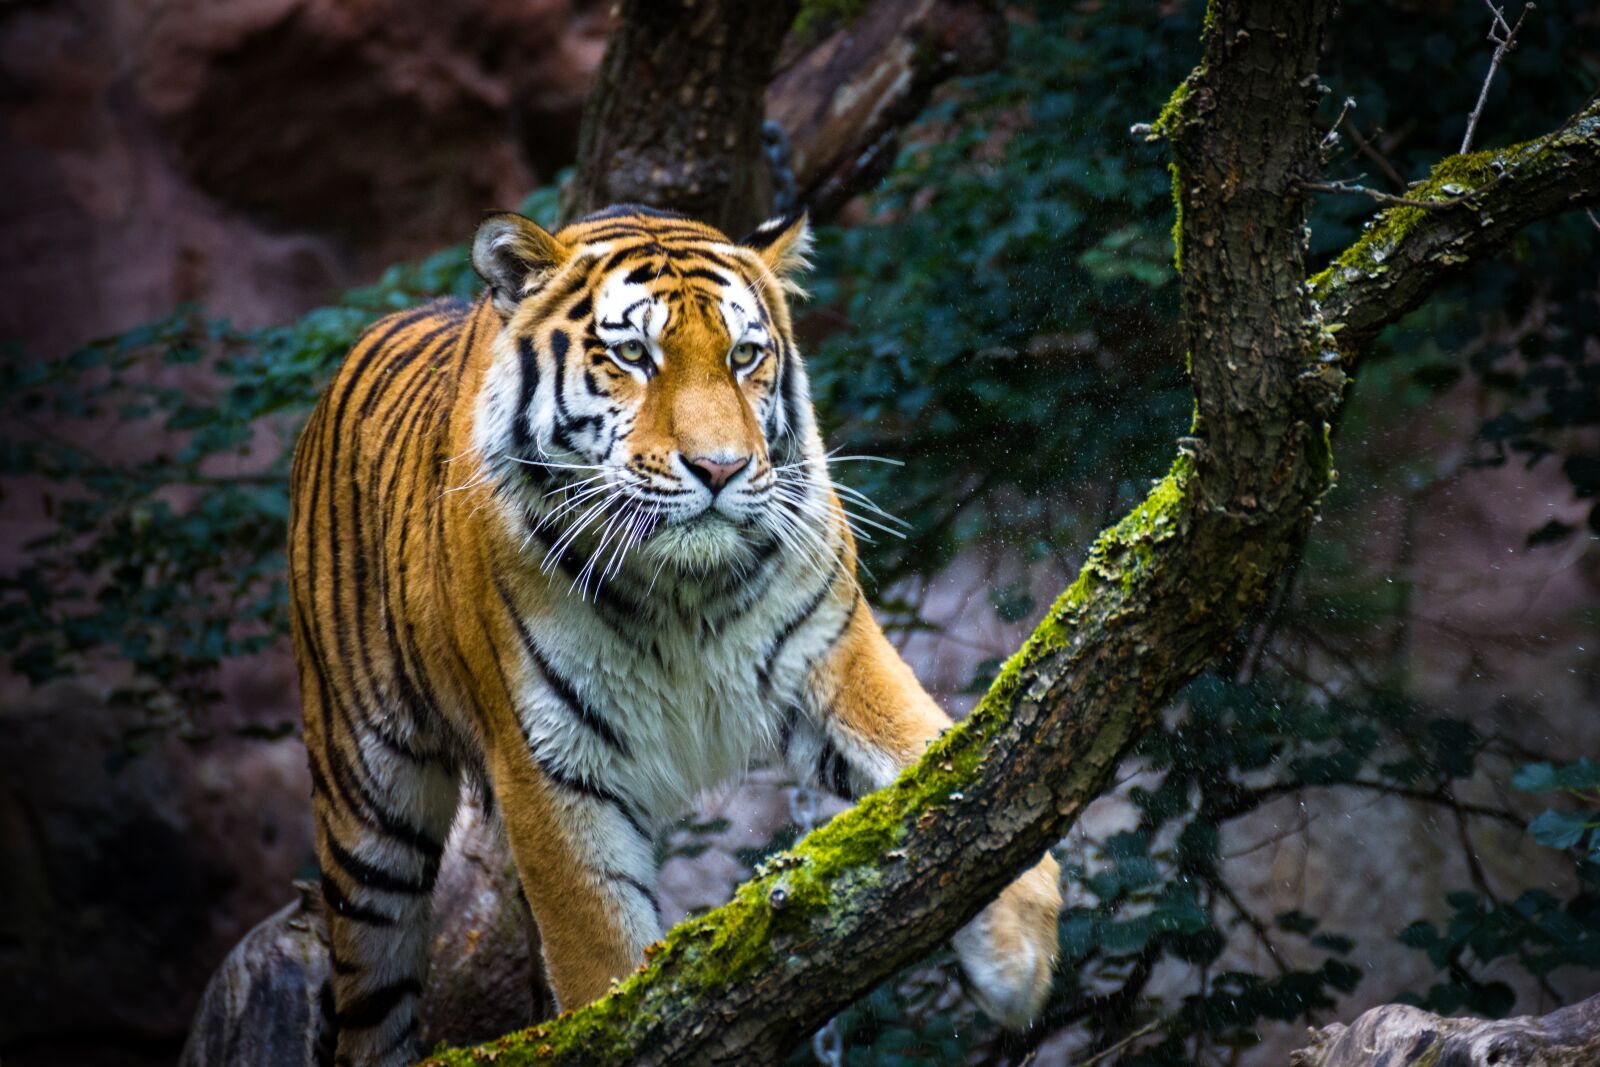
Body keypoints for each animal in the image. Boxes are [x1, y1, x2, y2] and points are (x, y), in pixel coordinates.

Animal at [288, 203, 1063, 1066]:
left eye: (745, 355)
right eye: (632, 355)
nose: (720, 469)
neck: (680, 590)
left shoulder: (830, 654)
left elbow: (933, 747)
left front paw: (1018, 947)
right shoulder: (551, 763)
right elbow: (599, 959)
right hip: (368, 814)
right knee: (370, 997)